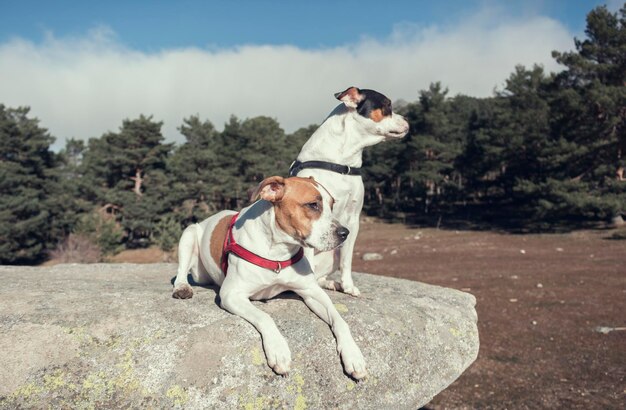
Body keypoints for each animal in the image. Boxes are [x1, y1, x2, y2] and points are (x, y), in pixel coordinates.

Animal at [171, 175, 366, 380]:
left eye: (332, 204)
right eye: (313, 205)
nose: (345, 233)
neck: (278, 250)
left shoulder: (311, 292)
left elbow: (340, 320)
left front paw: (353, 354)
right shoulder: (231, 295)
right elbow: (265, 317)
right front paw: (279, 350)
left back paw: (332, 283)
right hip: (188, 235)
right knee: (181, 272)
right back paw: (182, 288)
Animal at [288, 88, 410, 296]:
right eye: (387, 105)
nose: (408, 120)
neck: (342, 162)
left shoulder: (353, 219)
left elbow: (348, 260)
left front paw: (348, 286)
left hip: (333, 253)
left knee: (322, 274)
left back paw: (331, 283)